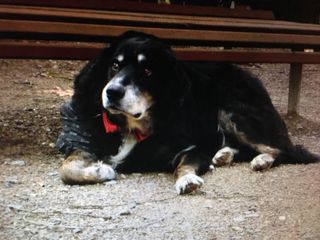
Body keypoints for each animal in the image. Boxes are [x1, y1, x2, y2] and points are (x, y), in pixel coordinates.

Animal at [56, 31, 318, 194]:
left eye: (147, 71)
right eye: (115, 65)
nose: (112, 92)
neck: (134, 126)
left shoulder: (193, 147)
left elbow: (184, 165)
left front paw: (186, 178)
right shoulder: (87, 142)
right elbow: (66, 169)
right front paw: (100, 170)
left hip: (233, 111)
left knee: (284, 150)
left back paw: (261, 159)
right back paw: (224, 154)